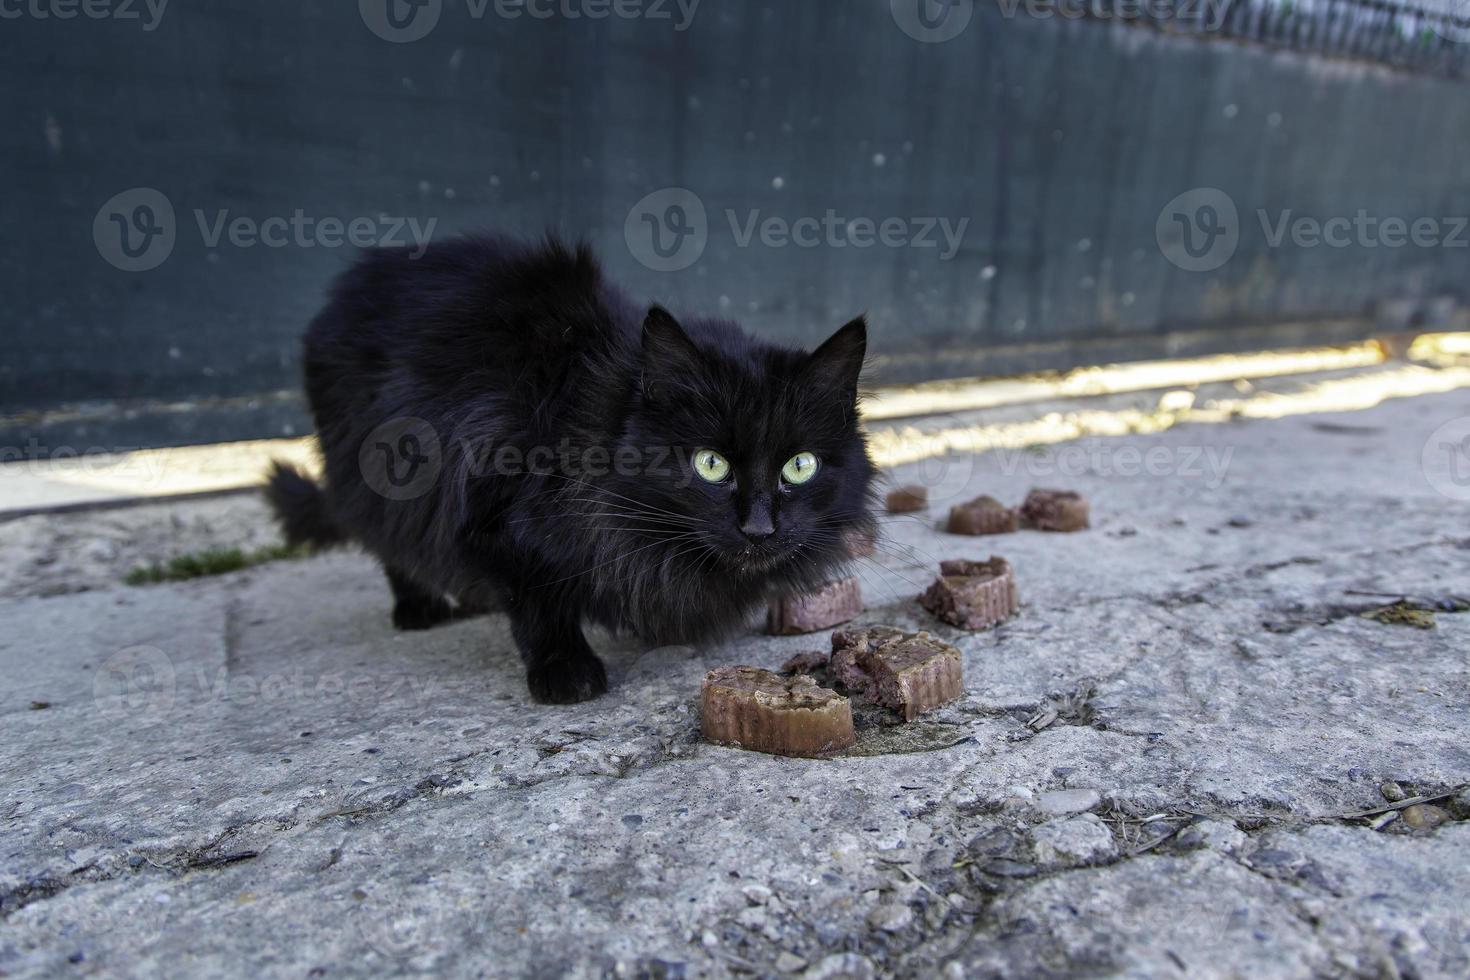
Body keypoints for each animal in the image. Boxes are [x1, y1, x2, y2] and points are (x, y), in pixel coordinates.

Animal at [267, 233, 870, 702]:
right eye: (710, 463)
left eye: (799, 466)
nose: (759, 528)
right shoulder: (491, 511)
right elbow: (538, 601)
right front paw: (565, 670)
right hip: (377, 475)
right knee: (389, 542)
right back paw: (418, 605)